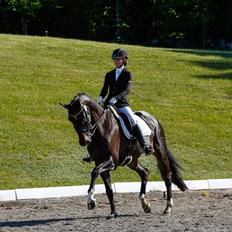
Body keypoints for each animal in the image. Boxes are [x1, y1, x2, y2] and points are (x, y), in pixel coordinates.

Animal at [60, 92, 188, 219]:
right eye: (71, 119)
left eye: (83, 116)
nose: (84, 141)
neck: (102, 127)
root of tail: (153, 118)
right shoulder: (99, 161)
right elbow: (108, 189)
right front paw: (113, 212)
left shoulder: (112, 161)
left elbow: (95, 172)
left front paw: (91, 201)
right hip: (131, 161)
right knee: (144, 172)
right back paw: (145, 204)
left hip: (160, 153)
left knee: (167, 176)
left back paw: (168, 208)